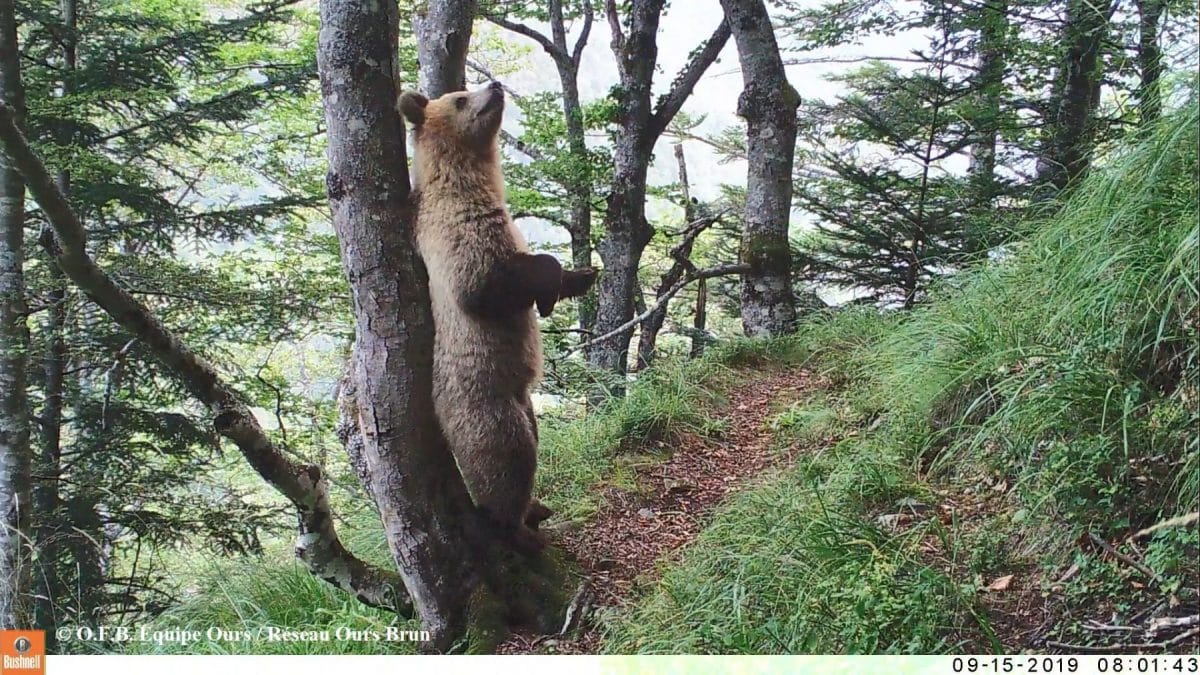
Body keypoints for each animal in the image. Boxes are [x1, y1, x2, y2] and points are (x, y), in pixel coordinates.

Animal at [398, 81, 595, 552]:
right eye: (460, 98)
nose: (495, 85)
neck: (471, 184)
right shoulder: (456, 235)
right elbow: (484, 288)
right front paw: (551, 286)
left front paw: (582, 275)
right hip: (485, 404)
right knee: (508, 459)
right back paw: (516, 525)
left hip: (523, 402)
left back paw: (537, 510)